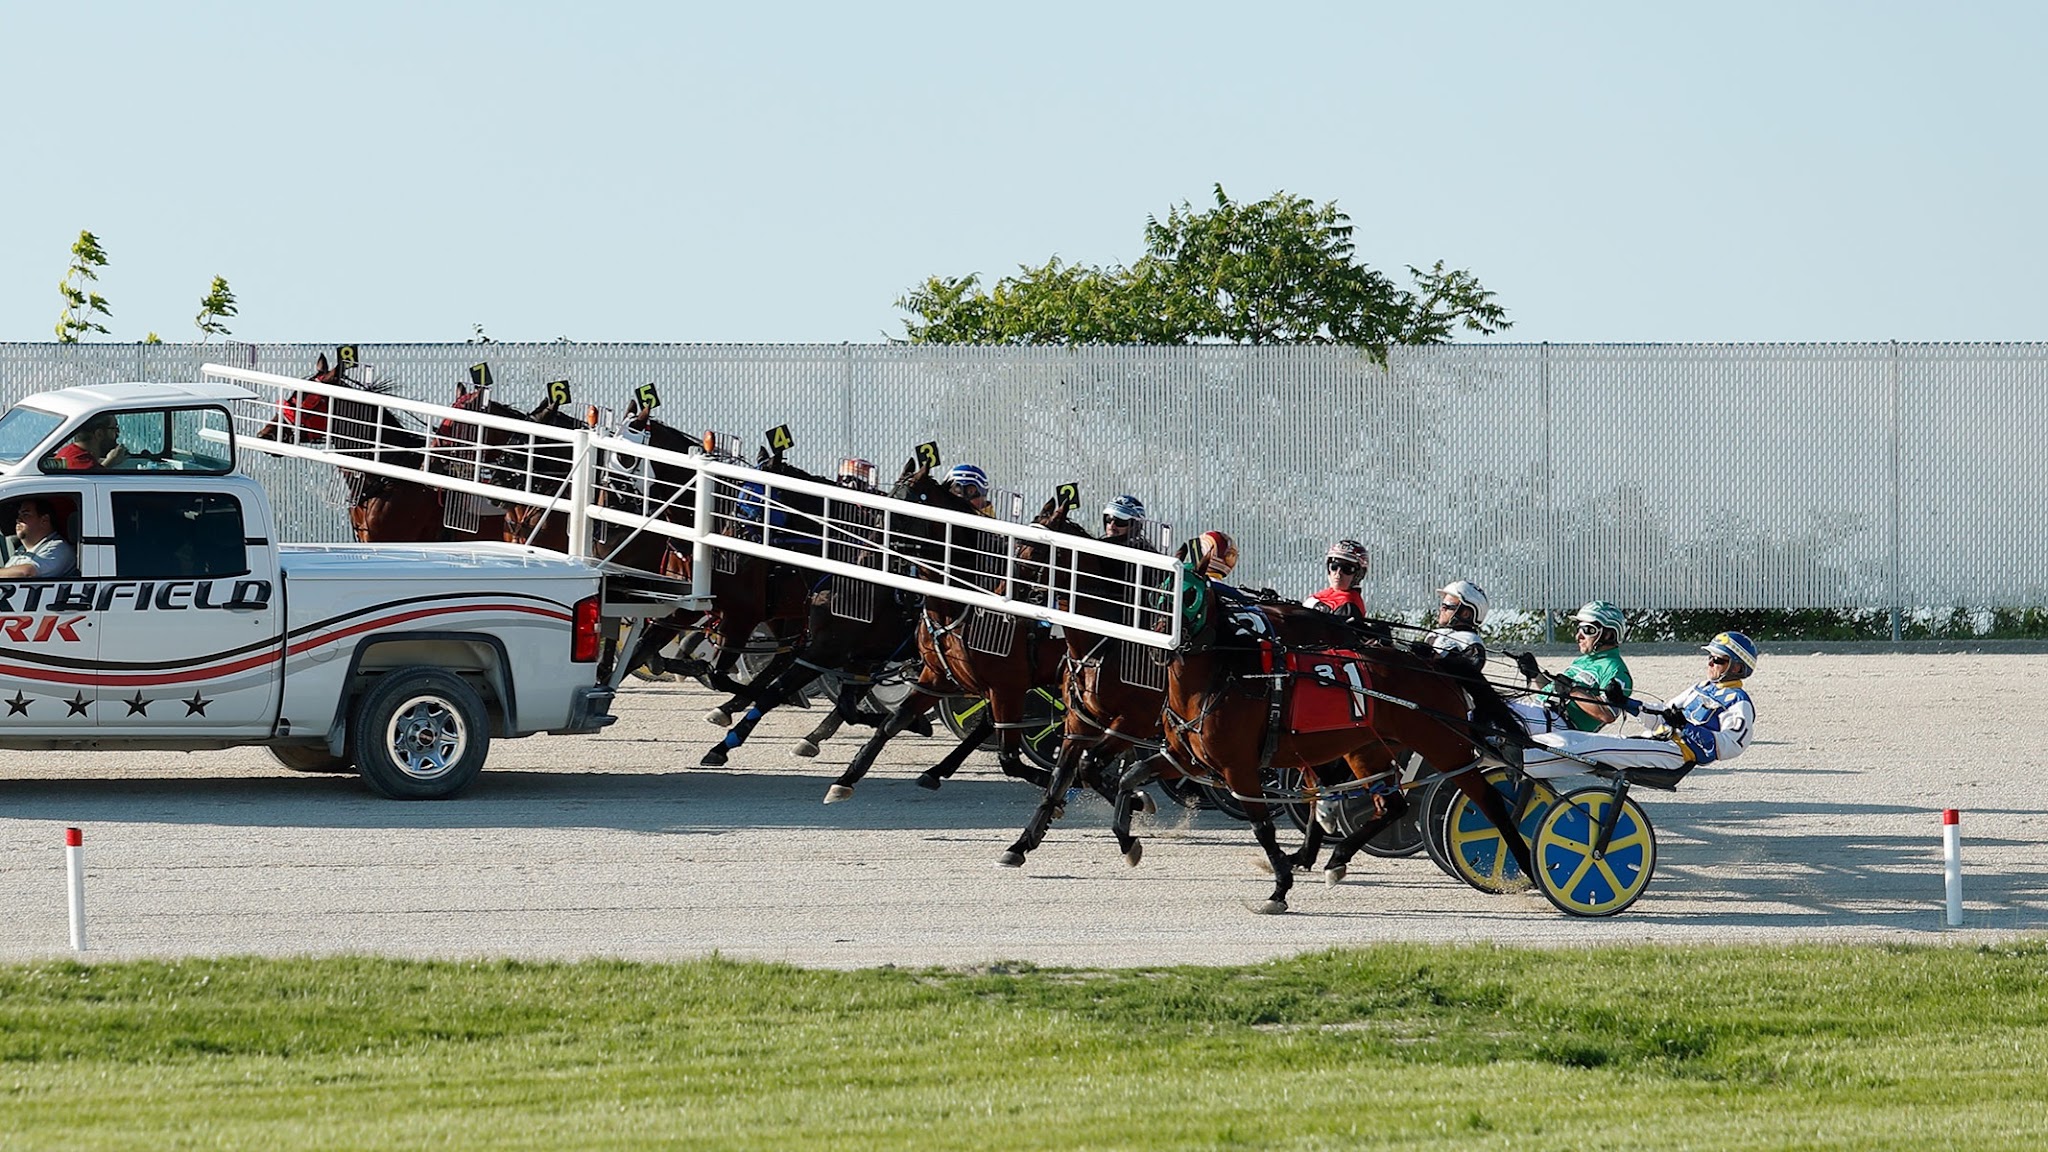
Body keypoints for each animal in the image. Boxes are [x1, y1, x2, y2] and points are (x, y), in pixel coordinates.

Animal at [1163, 582, 1531, 914]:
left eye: (1185, 595)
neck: (1233, 673)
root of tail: (1434, 667)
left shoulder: (1238, 767)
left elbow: (1265, 828)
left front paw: (1279, 889)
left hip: (1443, 745)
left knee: (1489, 800)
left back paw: (1525, 865)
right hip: (1367, 749)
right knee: (1391, 805)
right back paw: (1334, 858)